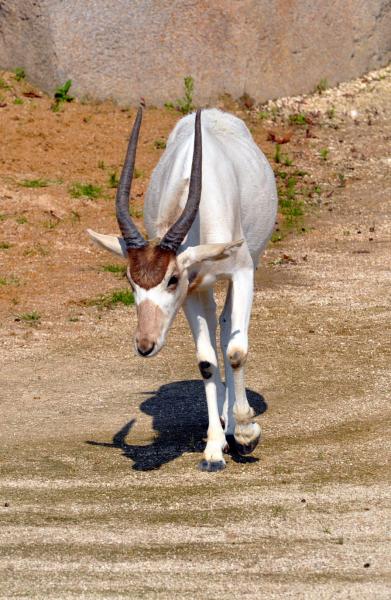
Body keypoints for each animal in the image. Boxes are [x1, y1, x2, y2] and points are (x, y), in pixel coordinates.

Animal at [89, 109, 278, 474]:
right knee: (218, 331)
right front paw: (214, 450)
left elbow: (236, 350)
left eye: (171, 279)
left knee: (227, 329)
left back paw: (236, 426)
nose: (145, 344)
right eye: (130, 280)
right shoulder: (193, 290)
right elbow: (206, 361)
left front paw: (247, 434)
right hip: (205, 286)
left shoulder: (240, 272)